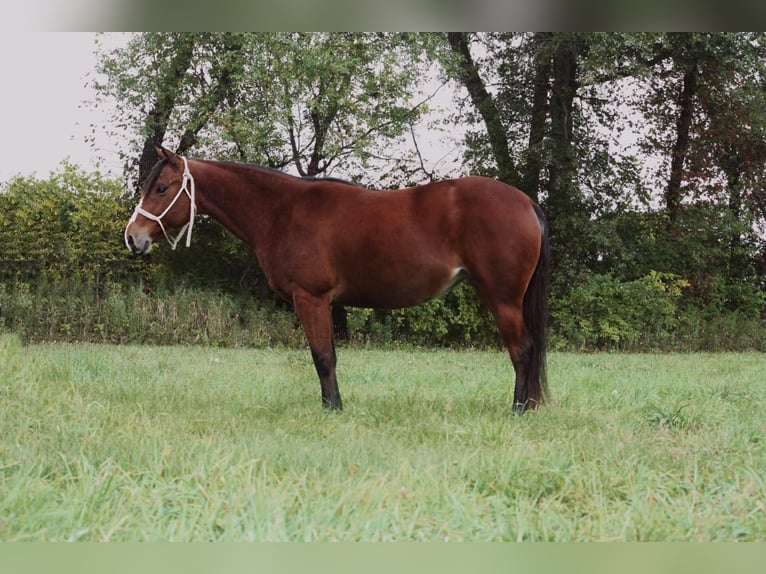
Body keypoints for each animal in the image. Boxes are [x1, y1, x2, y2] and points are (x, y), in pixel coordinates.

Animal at [124, 146, 552, 412]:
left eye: (160, 188)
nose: (133, 237)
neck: (282, 211)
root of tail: (527, 202)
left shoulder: (311, 298)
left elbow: (323, 357)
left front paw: (332, 409)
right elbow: (328, 355)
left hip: (503, 298)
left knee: (522, 351)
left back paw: (518, 409)